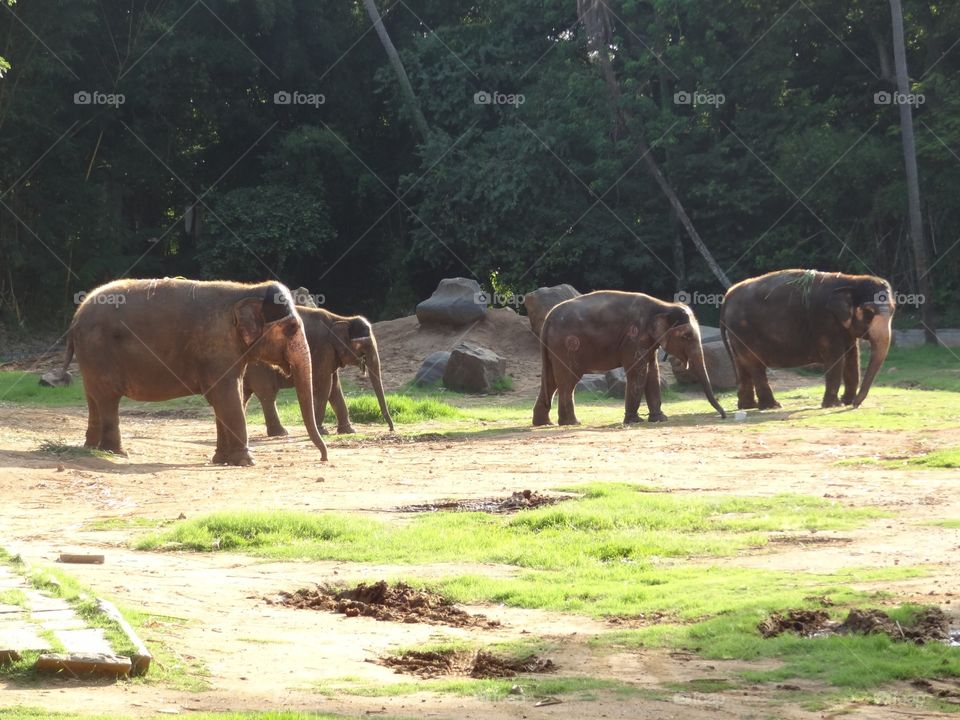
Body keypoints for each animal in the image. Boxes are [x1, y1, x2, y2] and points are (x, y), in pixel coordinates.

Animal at [62, 276, 330, 466]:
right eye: (291, 328)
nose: (323, 458)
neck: (246, 290)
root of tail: (74, 319)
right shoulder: (217, 346)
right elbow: (226, 395)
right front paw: (247, 462)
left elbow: (226, 397)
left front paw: (222, 460)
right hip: (98, 351)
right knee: (108, 399)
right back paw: (117, 453)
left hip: (90, 358)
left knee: (93, 397)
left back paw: (92, 448)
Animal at [244, 306, 394, 436]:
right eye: (364, 346)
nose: (391, 429)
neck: (341, 318)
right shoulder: (323, 349)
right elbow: (324, 386)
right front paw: (323, 431)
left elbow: (335, 388)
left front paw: (349, 431)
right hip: (258, 367)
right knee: (268, 395)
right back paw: (281, 433)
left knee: (246, 395)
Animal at [532, 290, 728, 424]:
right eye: (686, 336)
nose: (723, 415)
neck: (663, 305)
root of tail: (548, 318)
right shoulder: (633, 337)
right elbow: (639, 371)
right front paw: (634, 421)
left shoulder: (647, 341)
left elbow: (652, 371)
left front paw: (660, 419)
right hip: (566, 346)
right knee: (568, 380)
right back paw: (572, 422)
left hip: (554, 349)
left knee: (551, 380)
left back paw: (544, 423)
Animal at [720, 268, 900, 408]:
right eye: (869, 312)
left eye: (893, 310)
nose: (856, 404)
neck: (851, 280)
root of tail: (727, 297)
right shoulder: (824, 320)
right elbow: (836, 357)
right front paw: (833, 405)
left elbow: (852, 357)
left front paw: (846, 401)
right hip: (743, 330)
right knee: (754, 364)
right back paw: (772, 406)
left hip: (736, 334)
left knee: (742, 363)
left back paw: (748, 406)